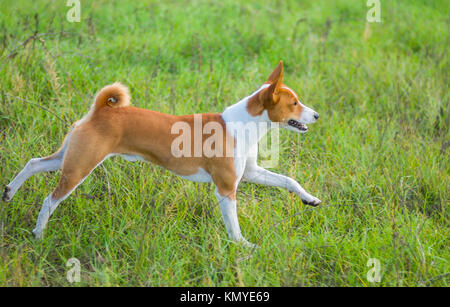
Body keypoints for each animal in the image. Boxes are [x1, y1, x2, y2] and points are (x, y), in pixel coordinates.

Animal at [3, 61, 320, 247]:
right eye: (294, 103)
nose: (317, 115)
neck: (243, 124)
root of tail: (101, 110)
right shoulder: (226, 187)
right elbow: (234, 226)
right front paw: (243, 247)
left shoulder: (250, 173)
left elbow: (289, 181)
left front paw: (310, 199)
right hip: (80, 168)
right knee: (49, 200)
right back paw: (39, 234)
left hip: (69, 158)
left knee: (34, 163)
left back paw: (8, 192)